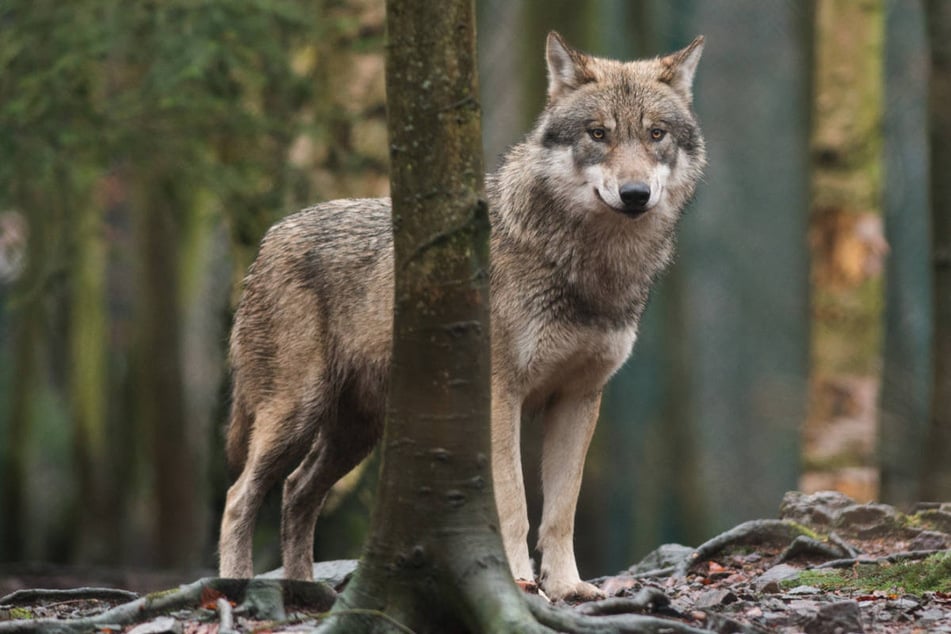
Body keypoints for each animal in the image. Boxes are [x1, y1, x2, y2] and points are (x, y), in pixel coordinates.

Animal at [219, 32, 704, 600]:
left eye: (656, 134)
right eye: (598, 133)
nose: (634, 194)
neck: (588, 267)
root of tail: (270, 238)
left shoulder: (579, 399)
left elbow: (561, 510)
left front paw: (567, 587)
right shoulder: (500, 395)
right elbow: (514, 505)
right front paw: (518, 582)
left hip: (355, 433)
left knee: (296, 492)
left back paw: (305, 591)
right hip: (296, 414)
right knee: (239, 497)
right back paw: (235, 588)